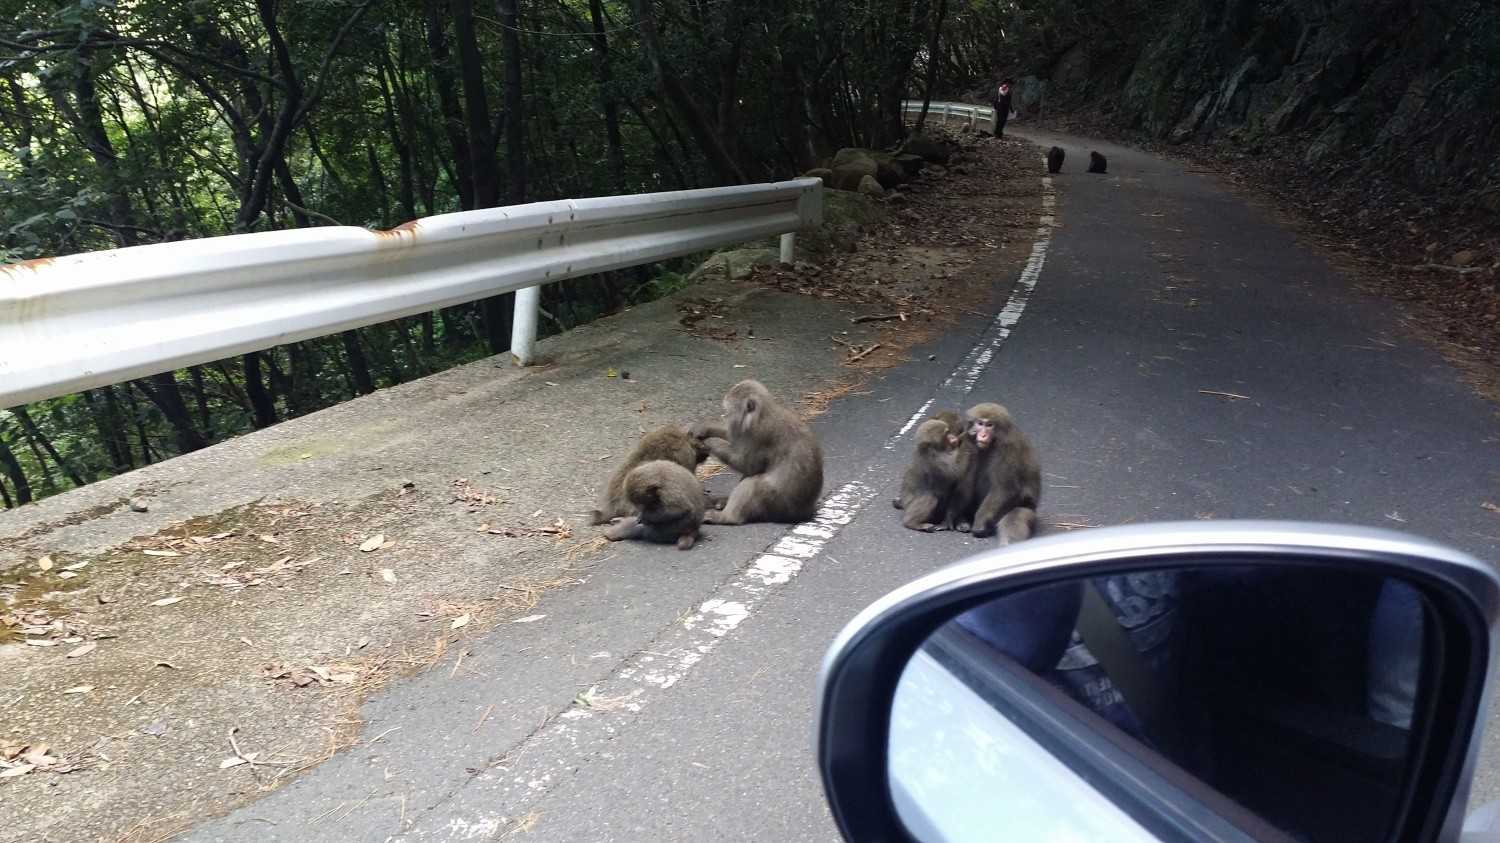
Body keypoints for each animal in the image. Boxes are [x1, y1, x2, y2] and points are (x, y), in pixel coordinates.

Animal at [690, 380, 824, 525]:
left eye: (729, 412)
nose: (727, 418)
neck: (762, 413)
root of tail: (803, 513)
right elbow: (734, 438)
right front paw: (705, 427)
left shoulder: (759, 435)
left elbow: (746, 465)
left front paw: (708, 441)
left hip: (775, 504)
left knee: (753, 482)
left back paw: (727, 517)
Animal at [953, 402, 1041, 543]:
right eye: (980, 424)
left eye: (989, 425)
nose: (982, 435)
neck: (994, 441)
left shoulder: (1008, 449)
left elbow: (1004, 489)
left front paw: (979, 524)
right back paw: (963, 520)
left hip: (1026, 508)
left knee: (1014, 519)